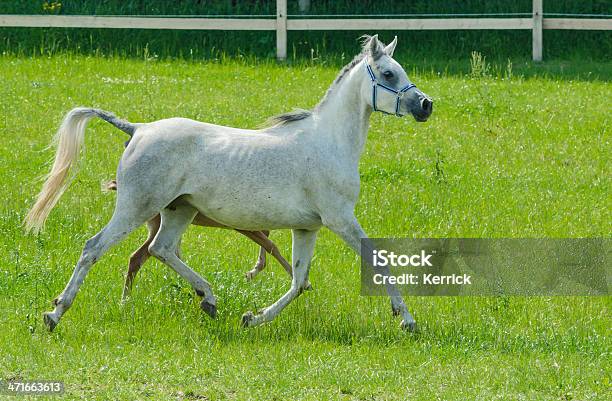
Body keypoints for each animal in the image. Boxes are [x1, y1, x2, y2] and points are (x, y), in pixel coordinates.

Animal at [26, 36, 432, 332]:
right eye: (388, 74)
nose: (426, 105)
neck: (329, 142)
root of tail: (138, 129)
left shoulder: (307, 227)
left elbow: (299, 282)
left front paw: (253, 318)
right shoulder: (340, 219)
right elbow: (376, 261)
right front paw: (408, 320)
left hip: (179, 210)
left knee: (161, 249)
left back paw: (208, 298)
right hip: (136, 207)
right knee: (94, 248)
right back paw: (54, 314)